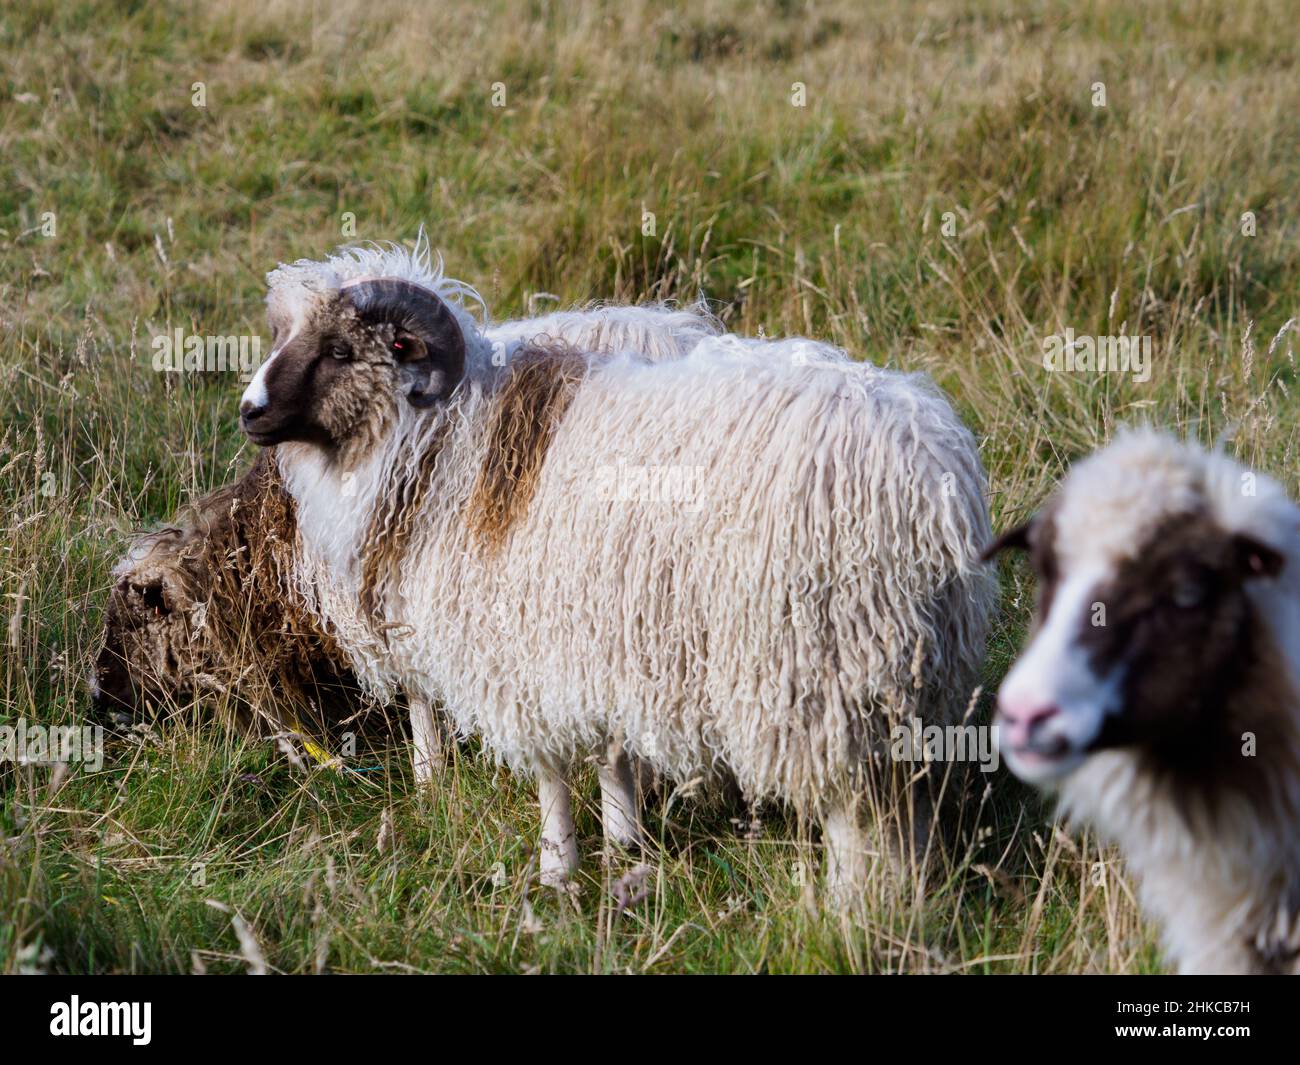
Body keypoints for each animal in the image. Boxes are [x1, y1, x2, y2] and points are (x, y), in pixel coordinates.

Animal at [239, 237, 993, 894]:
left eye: (340, 349)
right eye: (282, 335)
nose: (249, 411)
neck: (447, 438)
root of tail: (929, 482)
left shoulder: (520, 643)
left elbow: (550, 766)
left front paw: (557, 869)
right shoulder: (598, 639)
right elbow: (611, 750)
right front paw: (624, 839)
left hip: (816, 663)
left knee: (850, 806)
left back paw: (849, 905)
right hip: (912, 674)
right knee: (905, 800)